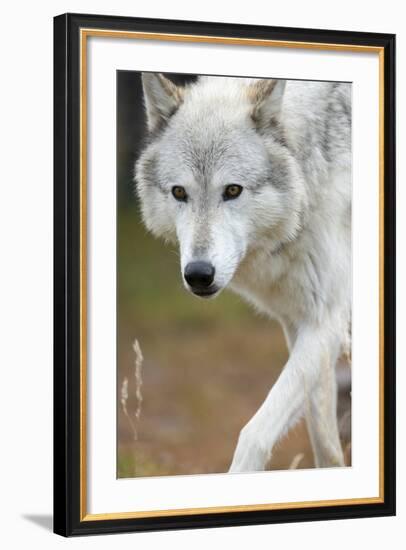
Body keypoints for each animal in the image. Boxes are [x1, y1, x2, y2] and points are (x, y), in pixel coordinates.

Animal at [135, 73, 350, 474]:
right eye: (179, 192)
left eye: (232, 190)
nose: (198, 274)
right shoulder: (302, 322)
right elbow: (324, 441)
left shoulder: (328, 320)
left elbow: (254, 433)